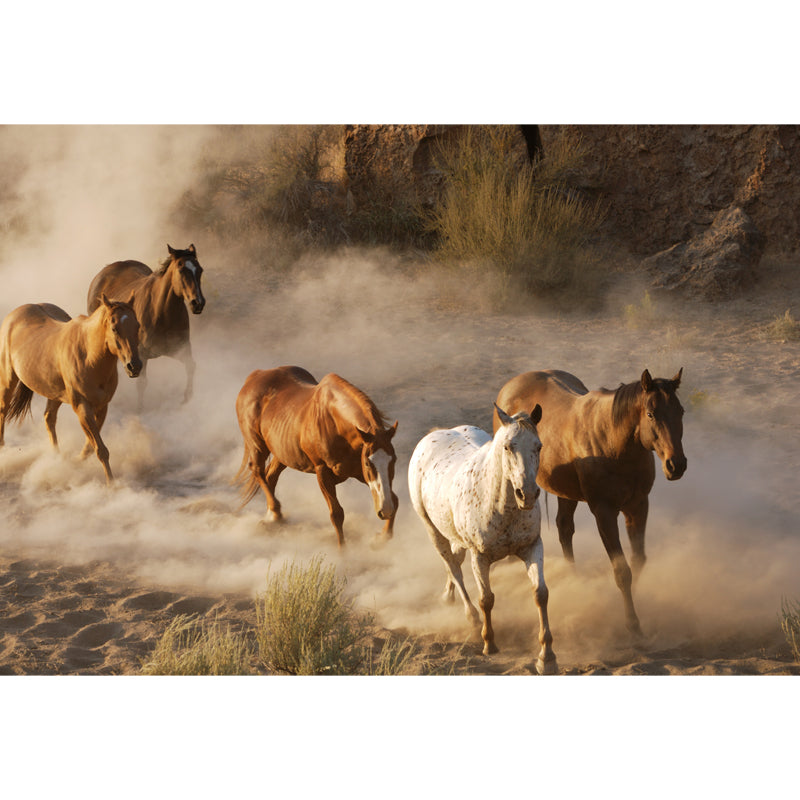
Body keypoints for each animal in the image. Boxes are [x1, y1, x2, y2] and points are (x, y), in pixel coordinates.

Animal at [0, 296, 142, 484]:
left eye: (137, 326)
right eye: (114, 328)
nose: (135, 366)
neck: (89, 356)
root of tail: (14, 315)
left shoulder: (102, 407)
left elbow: (91, 447)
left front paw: (76, 462)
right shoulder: (82, 408)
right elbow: (101, 449)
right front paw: (112, 485)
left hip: (54, 393)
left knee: (49, 418)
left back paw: (56, 458)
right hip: (8, 381)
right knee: (3, 411)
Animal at [86, 244, 205, 408]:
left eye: (200, 270)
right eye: (181, 270)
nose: (198, 303)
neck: (162, 313)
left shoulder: (181, 348)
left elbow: (191, 366)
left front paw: (187, 398)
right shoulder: (140, 354)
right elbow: (141, 383)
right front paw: (139, 408)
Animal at [234, 366, 399, 547]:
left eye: (394, 460)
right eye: (369, 463)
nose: (385, 510)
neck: (335, 423)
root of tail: (255, 376)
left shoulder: (358, 472)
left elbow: (395, 499)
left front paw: (382, 537)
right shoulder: (323, 472)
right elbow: (337, 514)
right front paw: (343, 551)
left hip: (282, 453)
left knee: (270, 476)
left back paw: (271, 517)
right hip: (257, 445)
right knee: (257, 470)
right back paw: (275, 513)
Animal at [408, 404, 557, 674]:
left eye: (538, 446)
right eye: (508, 446)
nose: (527, 494)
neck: (500, 505)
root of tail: (435, 434)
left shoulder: (532, 547)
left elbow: (540, 594)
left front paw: (546, 657)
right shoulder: (480, 557)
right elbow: (486, 599)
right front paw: (489, 644)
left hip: (455, 536)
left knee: (454, 561)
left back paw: (448, 596)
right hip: (432, 530)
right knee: (453, 567)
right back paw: (472, 618)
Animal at [493, 368, 687, 637]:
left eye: (681, 411)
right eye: (650, 413)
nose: (676, 465)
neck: (614, 444)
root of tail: (511, 385)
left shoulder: (638, 507)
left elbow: (638, 561)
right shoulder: (604, 513)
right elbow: (622, 571)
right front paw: (632, 623)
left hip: (566, 493)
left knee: (564, 528)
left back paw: (573, 577)